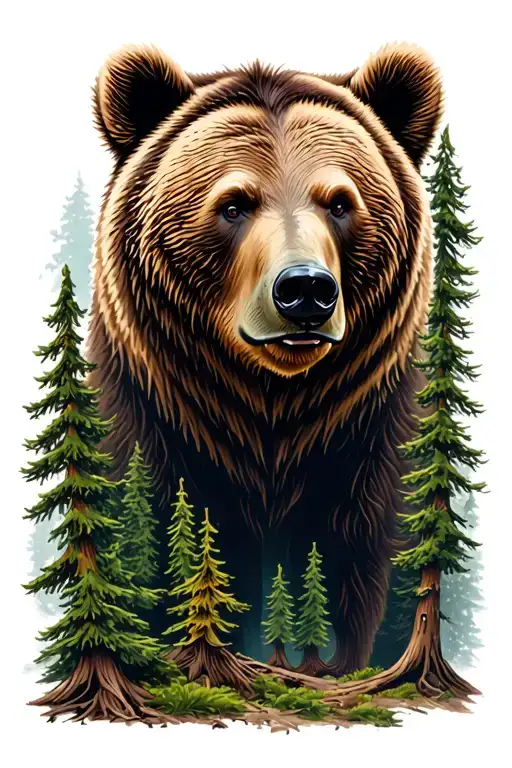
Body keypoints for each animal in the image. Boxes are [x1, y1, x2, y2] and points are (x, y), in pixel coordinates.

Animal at [88, 41, 443, 674]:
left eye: (340, 202)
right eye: (233, 204)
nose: (305, 290)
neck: (270, 410)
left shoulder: (369, 437)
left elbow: (355, 562)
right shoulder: (151, 420)